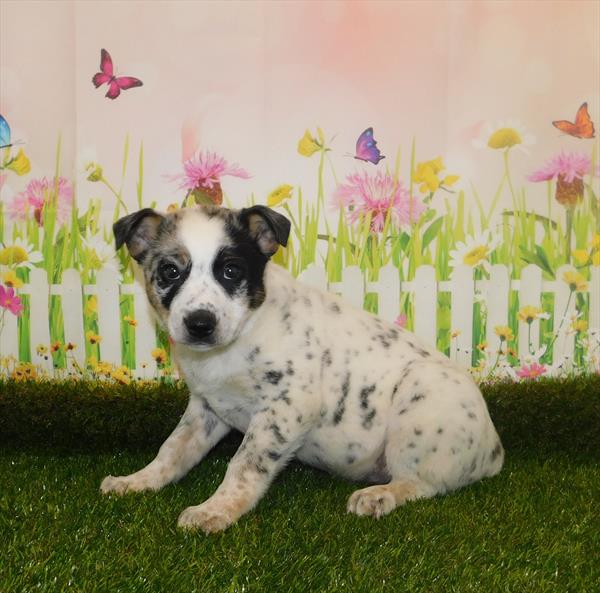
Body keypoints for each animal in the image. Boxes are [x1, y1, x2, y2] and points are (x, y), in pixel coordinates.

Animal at [101, 204, 504, 532]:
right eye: (170, 271)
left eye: (231, 271)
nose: (200, 323)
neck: (239, 338)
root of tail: (494, 451)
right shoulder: (206, 409)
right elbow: (172, 450)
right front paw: (139, 480)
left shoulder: (285, 410)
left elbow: (243, 464)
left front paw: (215, 510)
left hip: (420, 399)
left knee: (422, 483)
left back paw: (380, 495)